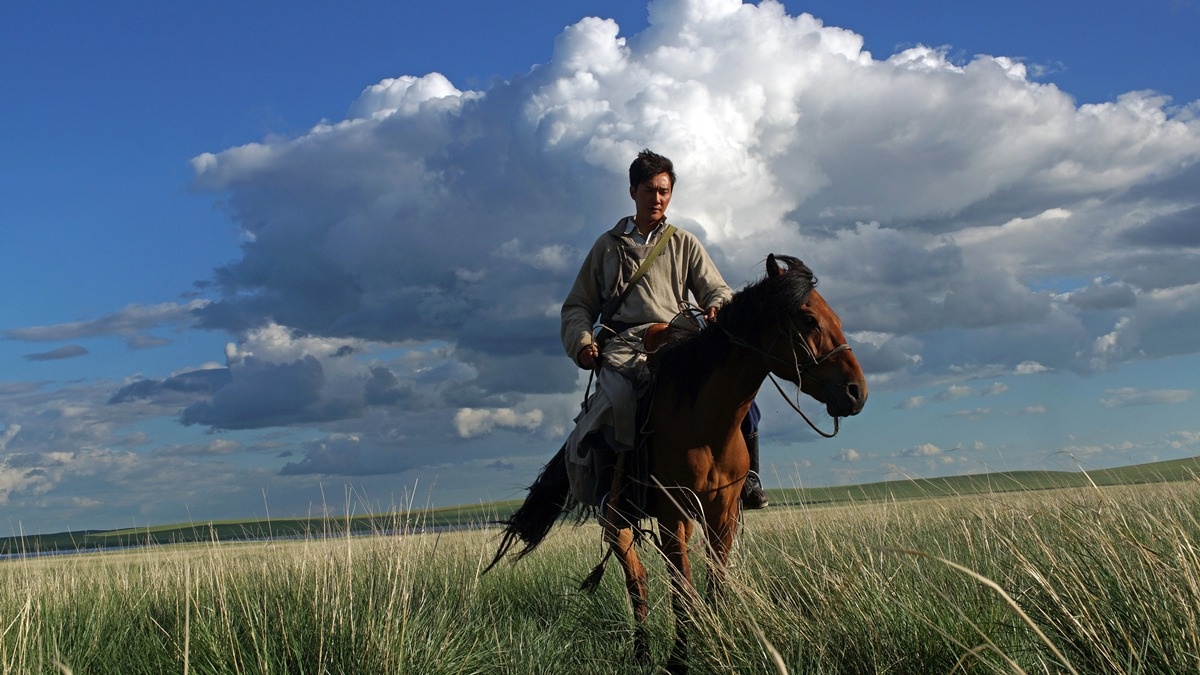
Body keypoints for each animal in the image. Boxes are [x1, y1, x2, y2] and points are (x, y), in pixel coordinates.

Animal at [484, 254, 864, 667]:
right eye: (808, 319)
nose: (856, 392)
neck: (704, 422)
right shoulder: (673, 515)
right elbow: (681, 592)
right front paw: (678, 661)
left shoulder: (722, 515)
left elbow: (715, 587)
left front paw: (719, 648)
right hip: (618, 523)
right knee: (638, 582)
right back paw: (642, 653)